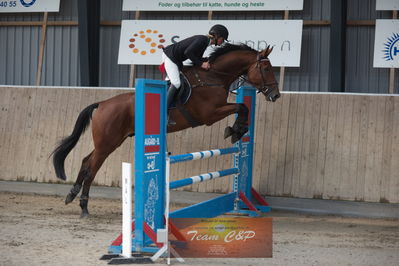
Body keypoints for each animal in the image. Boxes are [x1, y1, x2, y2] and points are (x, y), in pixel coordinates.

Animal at [51, 43, 280, 217]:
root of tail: (102, 104)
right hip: (108, 143)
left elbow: (243, 108)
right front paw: (236, 130)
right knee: (91, 168)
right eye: (267, 69)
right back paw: (83, 207)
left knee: (85, 161)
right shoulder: (209, 114)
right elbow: (242, 107)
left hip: (109, 141)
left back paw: (72, 195)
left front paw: (237, 130)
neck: (213, 77)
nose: (276, 95)